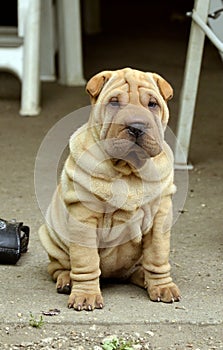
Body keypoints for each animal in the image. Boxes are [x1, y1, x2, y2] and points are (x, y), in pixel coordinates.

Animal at [38, 67, 181, 310]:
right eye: (114, 102)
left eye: (152, 104)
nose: (136, 127)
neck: (128, 171)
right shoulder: (83, 218)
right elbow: (86, 261)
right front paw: (85, 295)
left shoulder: (160, 216)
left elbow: (157, 257)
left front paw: (162, 287)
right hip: (50, 236)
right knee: (59, 267)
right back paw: (67, 280)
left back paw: (144, 277)